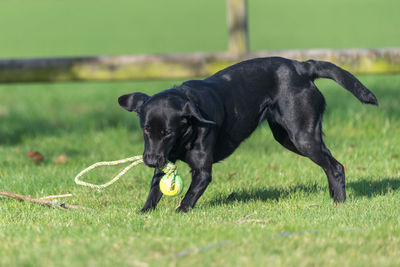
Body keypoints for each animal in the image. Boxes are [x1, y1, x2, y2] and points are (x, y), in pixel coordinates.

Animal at [119, 57, 378, 214]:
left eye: (168, 132)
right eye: (146, 129)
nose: (150, 160)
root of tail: (302, 67)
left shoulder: (202, 171)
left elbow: (190, 195)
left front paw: (180, 212)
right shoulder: (164, 160)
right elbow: (154, 190)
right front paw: (144, 213)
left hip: (302, 137)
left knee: (335, 166)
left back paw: (340, 202)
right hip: (287, 137)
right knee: (328, 164)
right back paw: (333, 197)